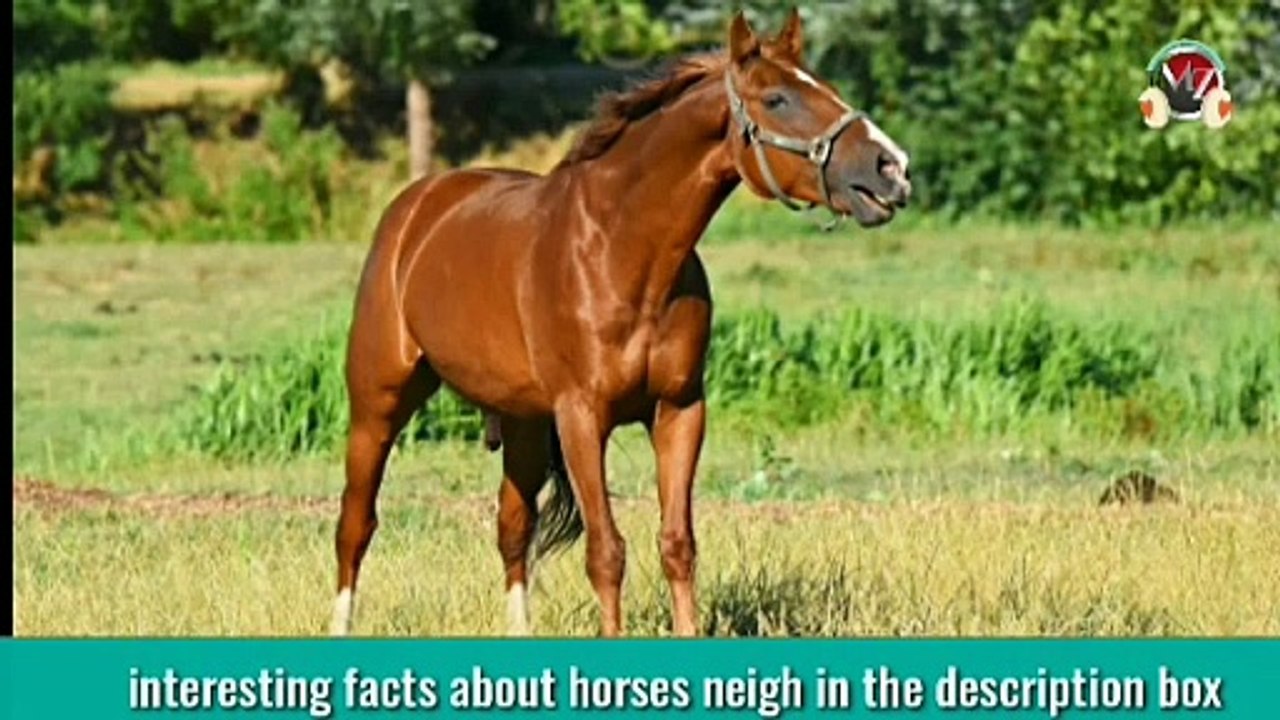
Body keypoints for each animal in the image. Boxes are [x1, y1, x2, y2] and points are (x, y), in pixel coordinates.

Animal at [331, 9, 912, 638]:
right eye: (777, 98)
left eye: (826, 87)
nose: (892, 168)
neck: (623, 251)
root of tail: (415, 207)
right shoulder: (583, 417)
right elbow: (606, 552)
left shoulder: (679, 410)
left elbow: (677, 544)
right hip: (379, 402)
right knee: (355, 524)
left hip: (523, 422)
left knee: (512, 529)